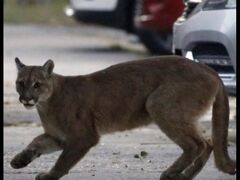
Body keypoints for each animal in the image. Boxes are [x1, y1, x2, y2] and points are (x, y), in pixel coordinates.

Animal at [10, 55, 235, 179]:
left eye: (37, 84)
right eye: (21, 83)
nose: (26, 98)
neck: (45, 104)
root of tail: (209, 68)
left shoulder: (82, 137)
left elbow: (63, 161)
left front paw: (50, 175)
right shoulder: (59, 137)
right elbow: (36, 142)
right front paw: (19, 160)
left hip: (159, 104)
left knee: (197, 144)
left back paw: (171, 173)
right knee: (208, 143)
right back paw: (184, 176)